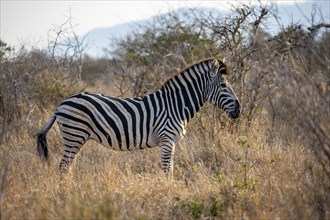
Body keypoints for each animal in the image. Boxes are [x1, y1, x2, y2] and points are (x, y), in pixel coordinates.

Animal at [36, 58, 240, 175]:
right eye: (223, 86)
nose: (239, 109)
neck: (175, 105)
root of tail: (61, 104)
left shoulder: (169, 141)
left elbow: (170, 168)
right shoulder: (167, 140)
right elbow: (168, 170)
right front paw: (168, 191)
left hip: (76, 137)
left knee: (67, 167)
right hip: (74, 134)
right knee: (63, 167)